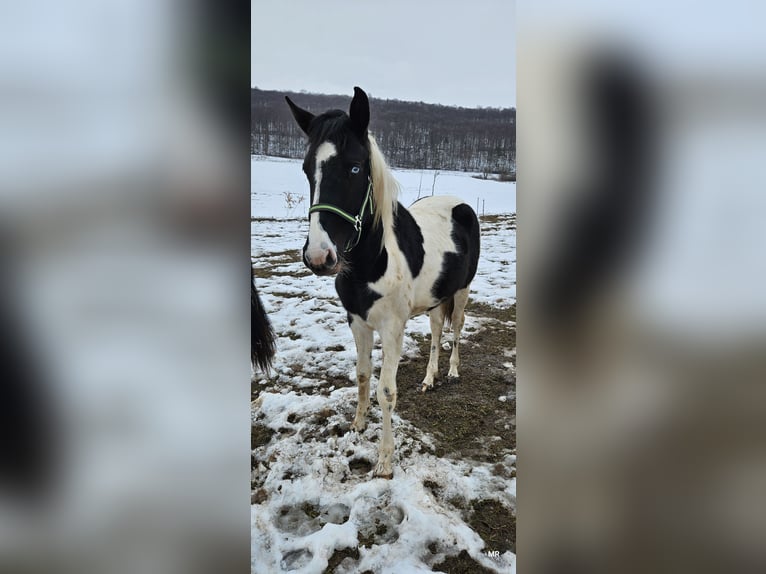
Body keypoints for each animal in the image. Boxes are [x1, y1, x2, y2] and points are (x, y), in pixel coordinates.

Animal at [286, 87, 480, 478]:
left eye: (355, 167)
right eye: (307, 169)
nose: (319, 257)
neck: (370, 263)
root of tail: (461, 204)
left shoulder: (391, 328)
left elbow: (386, 391)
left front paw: (385, 462)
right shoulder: (358, 322)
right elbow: (362, 375)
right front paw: (357, 425)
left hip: (461, 291)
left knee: (455, 329)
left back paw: (452, 372)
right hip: (435, 298)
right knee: (436, 332)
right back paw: (429, 379)